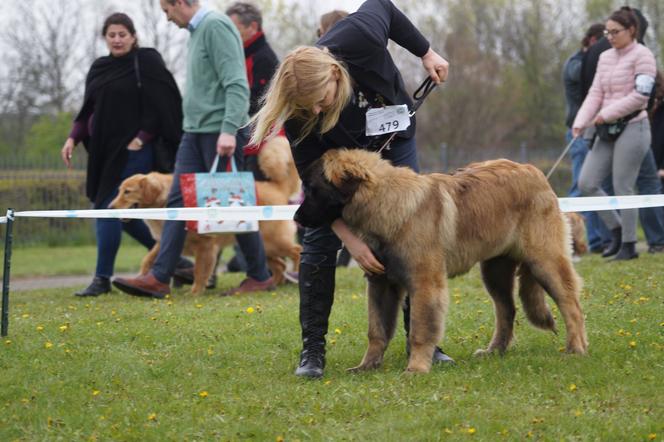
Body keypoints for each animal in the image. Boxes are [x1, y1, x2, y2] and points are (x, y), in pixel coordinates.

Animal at [110, 135, 302, 294]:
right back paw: (273, 284)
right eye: (119, 190)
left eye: (127, 192)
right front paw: (141, 278)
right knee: (280, 265)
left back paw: (296, 274)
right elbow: (149, 258)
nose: (110, 207)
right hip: (265, 247)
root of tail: (276, 187)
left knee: (296, 251)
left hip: (273, 241)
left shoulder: (205, 245)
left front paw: (195, 292)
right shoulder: (166, 240)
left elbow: (200, 270)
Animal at [294, 149, 588, 372]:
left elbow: (420, 330)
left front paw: (416, 368)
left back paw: (576, 348)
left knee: (570, 303)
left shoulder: (425, 283)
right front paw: (366, 366)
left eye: (312, 189)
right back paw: (494, 351)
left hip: (545, 261)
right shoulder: (381, 284)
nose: (296, 218)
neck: (387, 203)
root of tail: (532, 170)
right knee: (507, 310)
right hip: (495, 272)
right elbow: (376, 330)